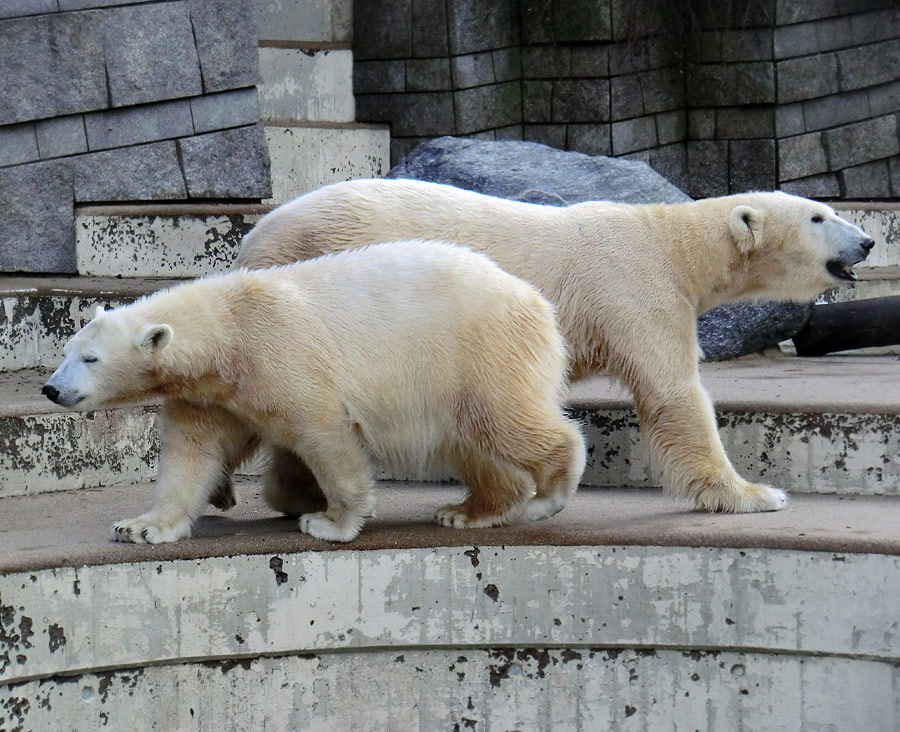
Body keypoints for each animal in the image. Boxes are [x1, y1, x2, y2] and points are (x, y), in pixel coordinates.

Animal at [42, 242, 588, 544]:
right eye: (66, 350)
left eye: (91, 359)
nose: (51, 389)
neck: (228, 332)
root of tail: (540, 305)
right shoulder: (209, 394)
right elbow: (190, 455)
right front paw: (141, 526)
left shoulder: (280, 354)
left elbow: (323, 433)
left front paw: (329, 521)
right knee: (474, 442)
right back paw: (470, 511)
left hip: (476, 352)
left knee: (503, 420)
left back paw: (547, 495)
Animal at [236, 179, 876, 516]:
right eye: (819, 216)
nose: (868, 241)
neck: (669, 241)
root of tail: (253, 238)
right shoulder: (635, 290)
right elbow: (674, 394)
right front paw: (755, 494)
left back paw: (295, 494)